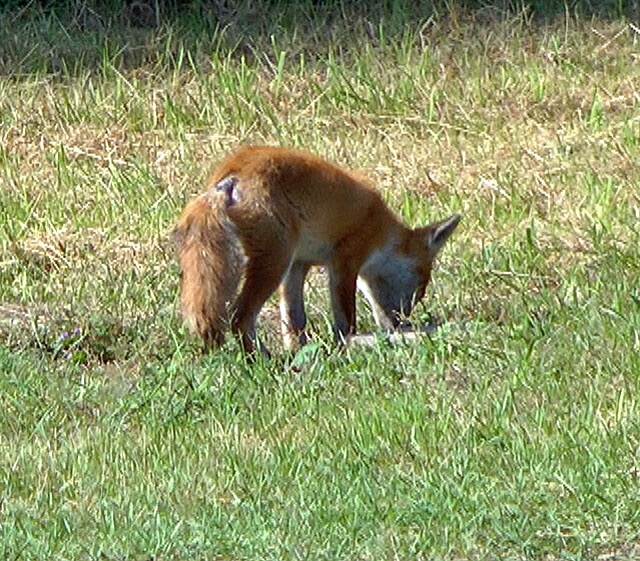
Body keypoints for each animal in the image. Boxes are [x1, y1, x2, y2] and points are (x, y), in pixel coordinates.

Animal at [174, 146, 460, 355]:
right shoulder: (345, 260)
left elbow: (294, 323)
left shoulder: (299, 264)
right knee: (239, 318)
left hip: (277, 263)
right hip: (273, 262)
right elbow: (345, 328)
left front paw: (299, 353)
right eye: (420, 287)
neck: (380, 228)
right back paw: (261, 361)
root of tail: (230, 173)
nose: (401, 323)